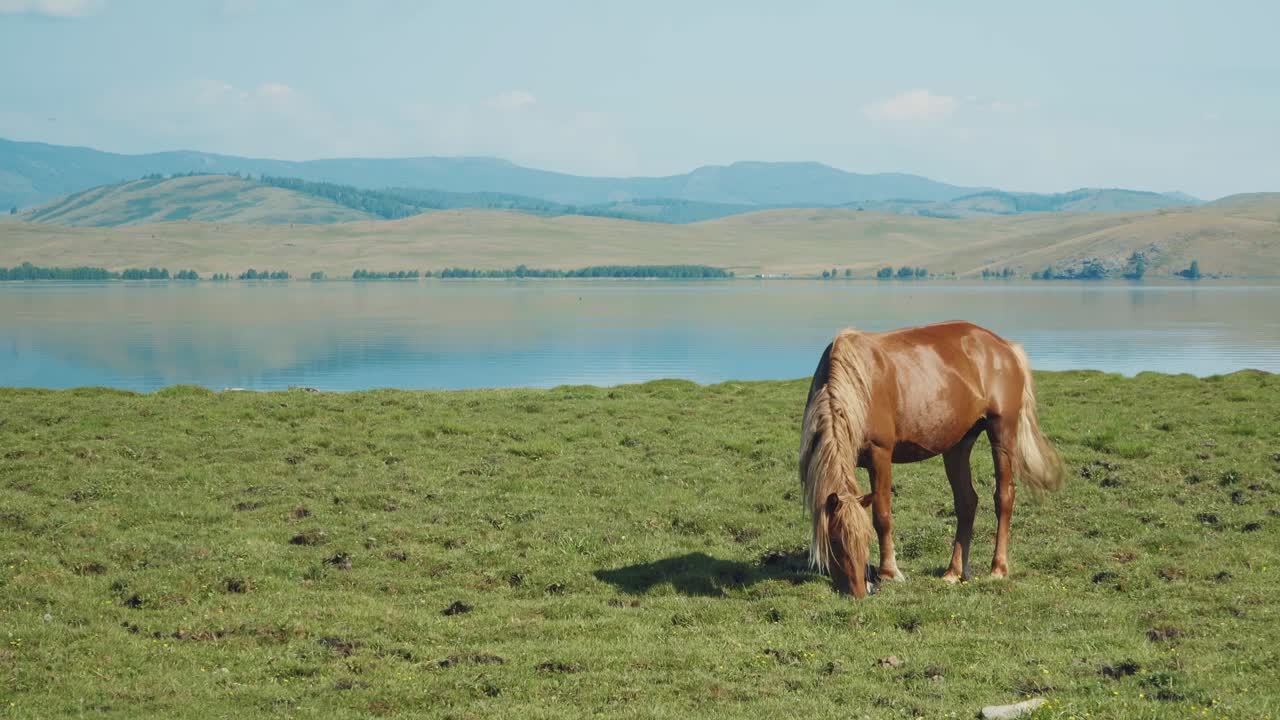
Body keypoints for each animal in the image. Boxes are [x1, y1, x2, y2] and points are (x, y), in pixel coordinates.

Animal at [798, 321, 1064, 598]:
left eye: (865, 538)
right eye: (834, 540)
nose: (860, 592)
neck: (857, 387)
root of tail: (1006, 347)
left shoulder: (880, 454)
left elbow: (882, 515)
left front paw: (889, 572)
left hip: (1002, 433)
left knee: (1004, 497)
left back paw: (998, 568)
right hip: (958, 445)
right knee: (967, 502)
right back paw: (954, 572)